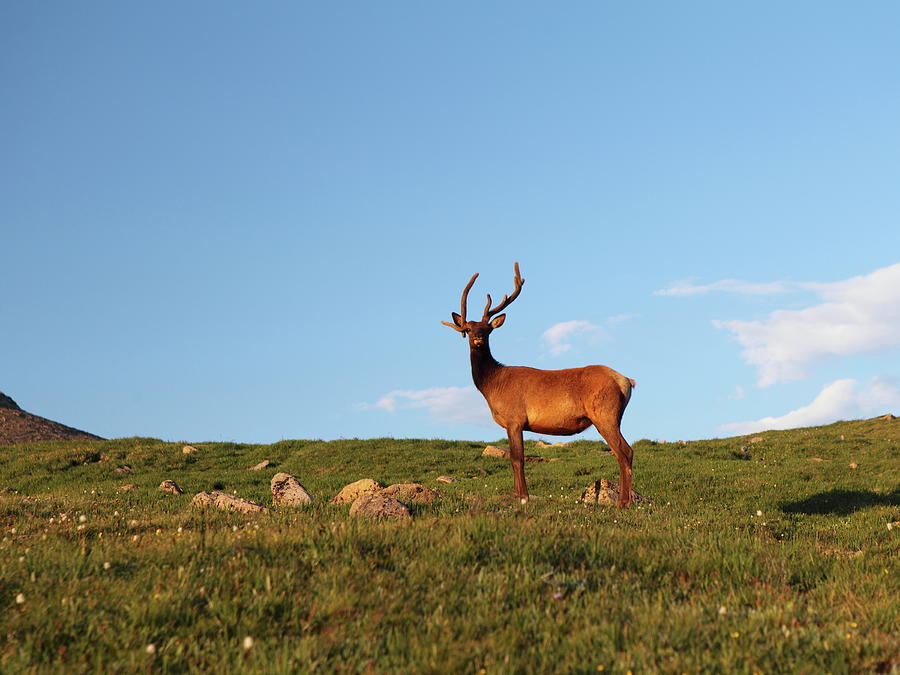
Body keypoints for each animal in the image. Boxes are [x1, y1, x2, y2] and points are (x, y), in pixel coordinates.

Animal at [440, 264, 636, 508]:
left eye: (487, 329)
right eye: (468, 329)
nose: (477, 338)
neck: (492, 386)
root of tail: (626, 381)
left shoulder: (515, 418)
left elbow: (518, 458)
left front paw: (523, 497)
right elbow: (513, 458)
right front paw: (517, 495)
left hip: (604, 413)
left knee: (624, 451)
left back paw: (623, 502)